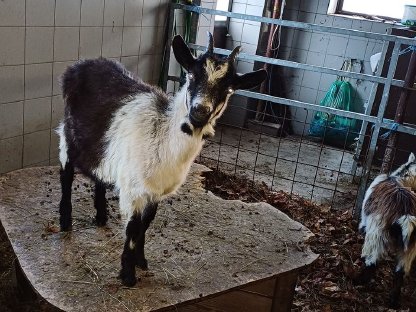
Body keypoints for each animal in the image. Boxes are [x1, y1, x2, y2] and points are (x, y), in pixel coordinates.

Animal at [57, 33, 266, 286]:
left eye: (229, 89)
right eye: (191, 75)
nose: (199, 111)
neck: (164, 136)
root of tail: (79, 65)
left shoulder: (156, 190)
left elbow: (146, 225)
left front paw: (141, 261)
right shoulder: (134, 190)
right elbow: (133, 228)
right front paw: (128, 276)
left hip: (104, 150)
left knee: (99, 173)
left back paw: (101, 216)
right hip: (68, 134)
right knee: (66, 173)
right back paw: (65, 221)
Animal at [354, 152, 416, 308]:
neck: (400, 179)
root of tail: (406, 214)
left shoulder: (367, 221)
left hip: (377, 233)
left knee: (373, 261)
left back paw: (358, 281)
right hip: (411, 247)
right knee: (400, 272)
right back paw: (393, 301)